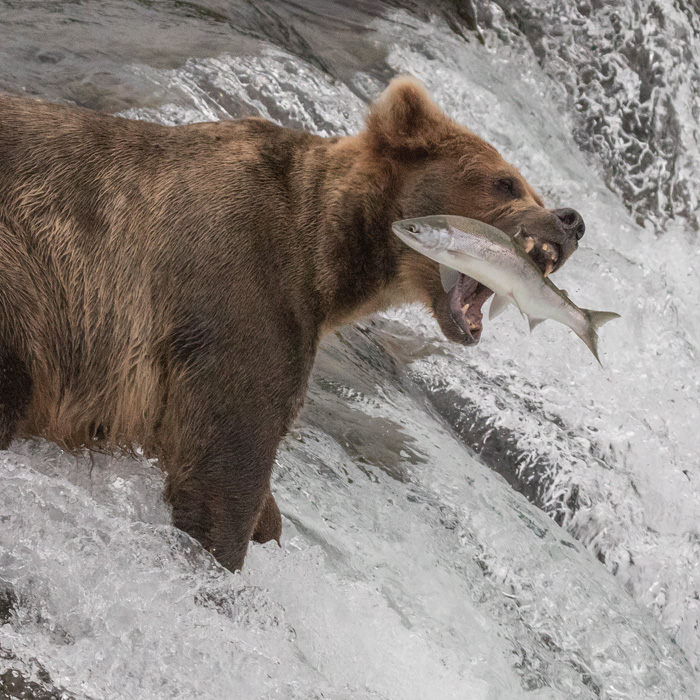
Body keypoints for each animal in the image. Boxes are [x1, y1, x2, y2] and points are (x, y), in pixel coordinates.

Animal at [0, 78, 584, 568]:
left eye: (532, 188)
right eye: (505, 182)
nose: (572, 219)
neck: (326, 257)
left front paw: (268, 522)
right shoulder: (241, 290)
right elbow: (228, 461)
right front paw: (220, 556)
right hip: (30, 276)